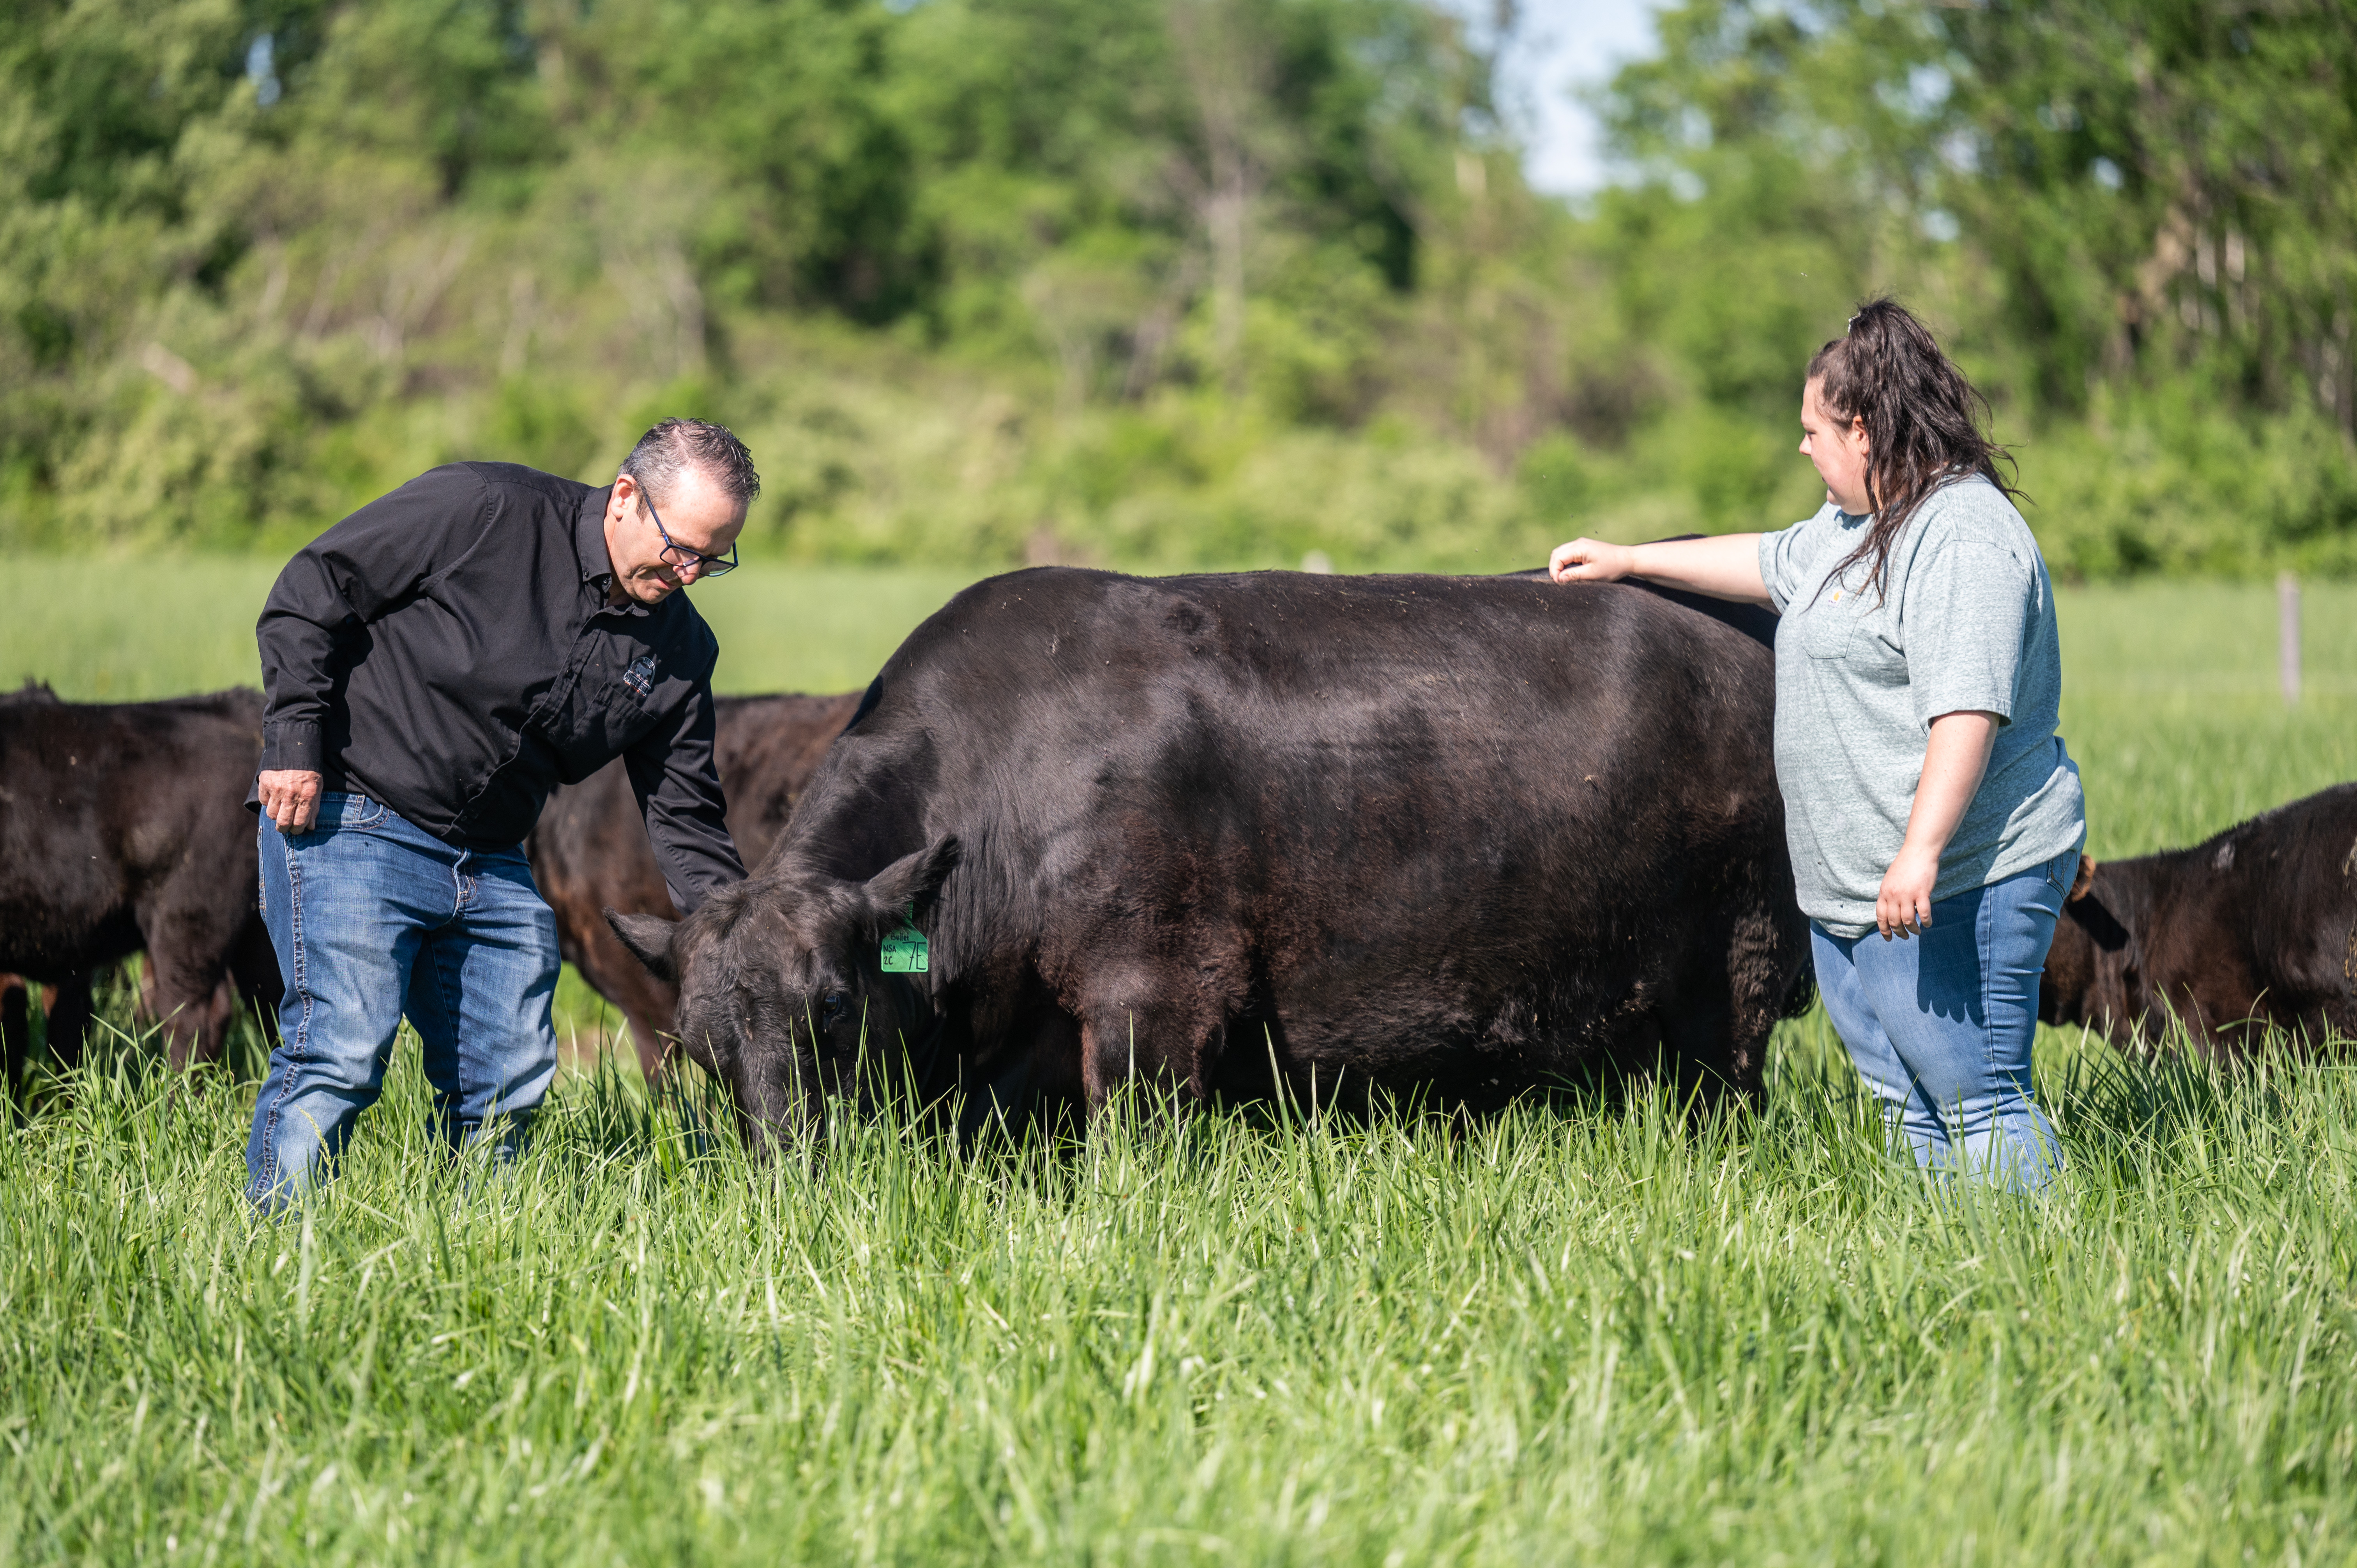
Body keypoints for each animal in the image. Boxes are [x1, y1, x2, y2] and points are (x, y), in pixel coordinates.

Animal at [608, 563, 1800, 1150]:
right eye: (702, 1050)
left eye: (835, 1007)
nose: (790, 1167)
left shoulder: (1157, 989)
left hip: (1733, 967)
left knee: (1723, 1088)